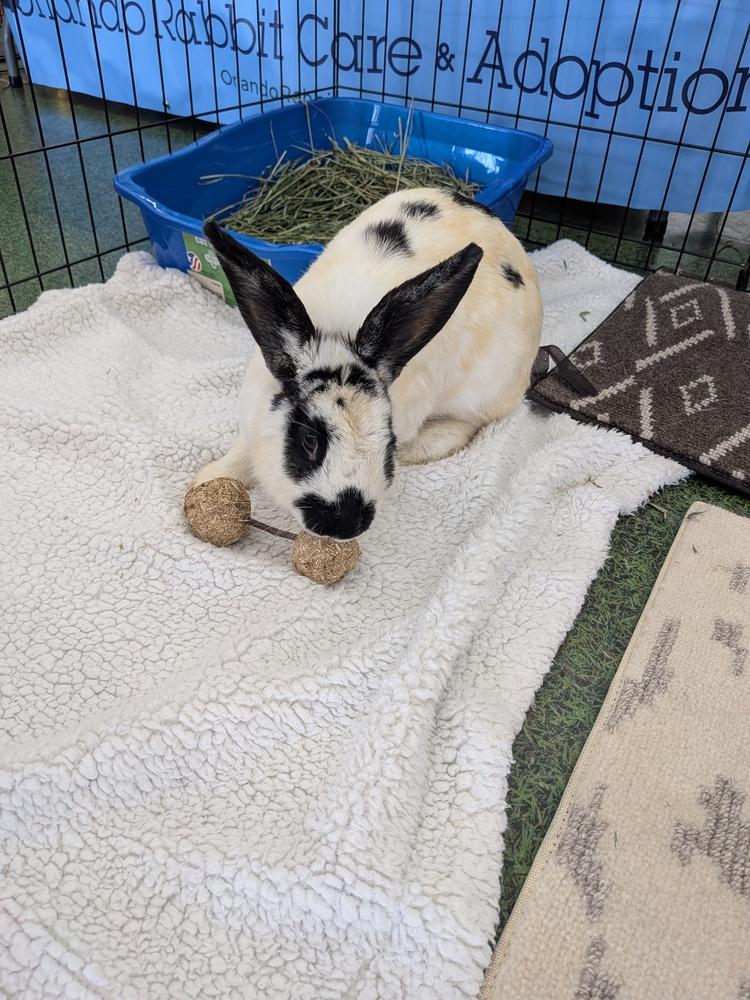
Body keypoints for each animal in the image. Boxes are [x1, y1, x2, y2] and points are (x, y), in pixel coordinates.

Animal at [194, 186, 542, 540]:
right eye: (309, 441)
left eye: (388, 441)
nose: (346, 526)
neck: (338, 333)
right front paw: (205, 481)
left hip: (483, 390)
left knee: (470, 424)